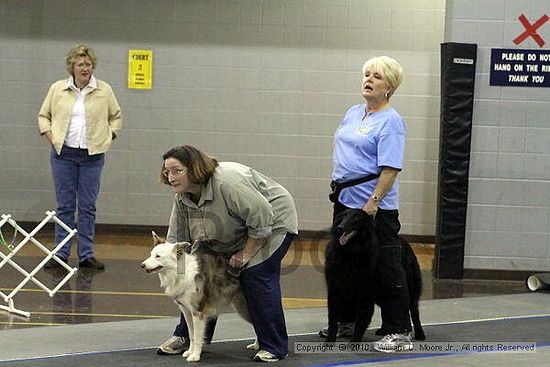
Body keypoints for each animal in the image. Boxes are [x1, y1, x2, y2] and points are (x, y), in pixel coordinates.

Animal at [326, 208, 430, 344]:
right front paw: (329, 341)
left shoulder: (366, 295)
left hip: (410, 290)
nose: (340, 228)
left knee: (413, 310)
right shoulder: (335, 291)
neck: (351, 253)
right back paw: (385, 330)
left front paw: (354, 341)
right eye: (343, 216)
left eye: (356, 218)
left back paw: (418, 333)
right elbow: (333, 320)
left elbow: (361, 321)